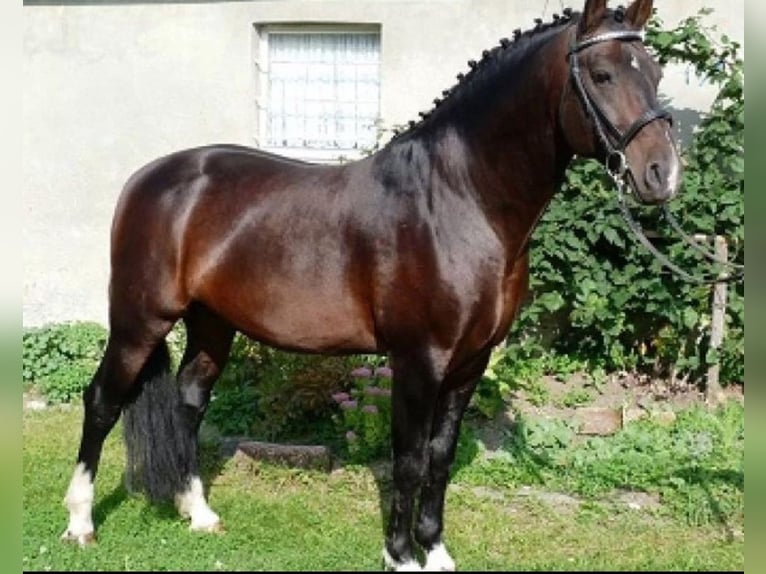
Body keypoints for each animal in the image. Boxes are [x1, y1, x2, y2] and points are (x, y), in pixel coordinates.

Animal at [61, 0, 681, 570]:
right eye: (601, 74)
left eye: (654, 73)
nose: (663, 174)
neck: (458, 200)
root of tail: (147, 178)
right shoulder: (419, 359)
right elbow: (407, 460)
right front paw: (401, 554)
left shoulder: (471, 362)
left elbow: (440, 457)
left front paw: (435, 550)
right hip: (140, 320)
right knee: (102, 401)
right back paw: (80, 523)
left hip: (212, 324)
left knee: (189, 400)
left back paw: (200, 514)